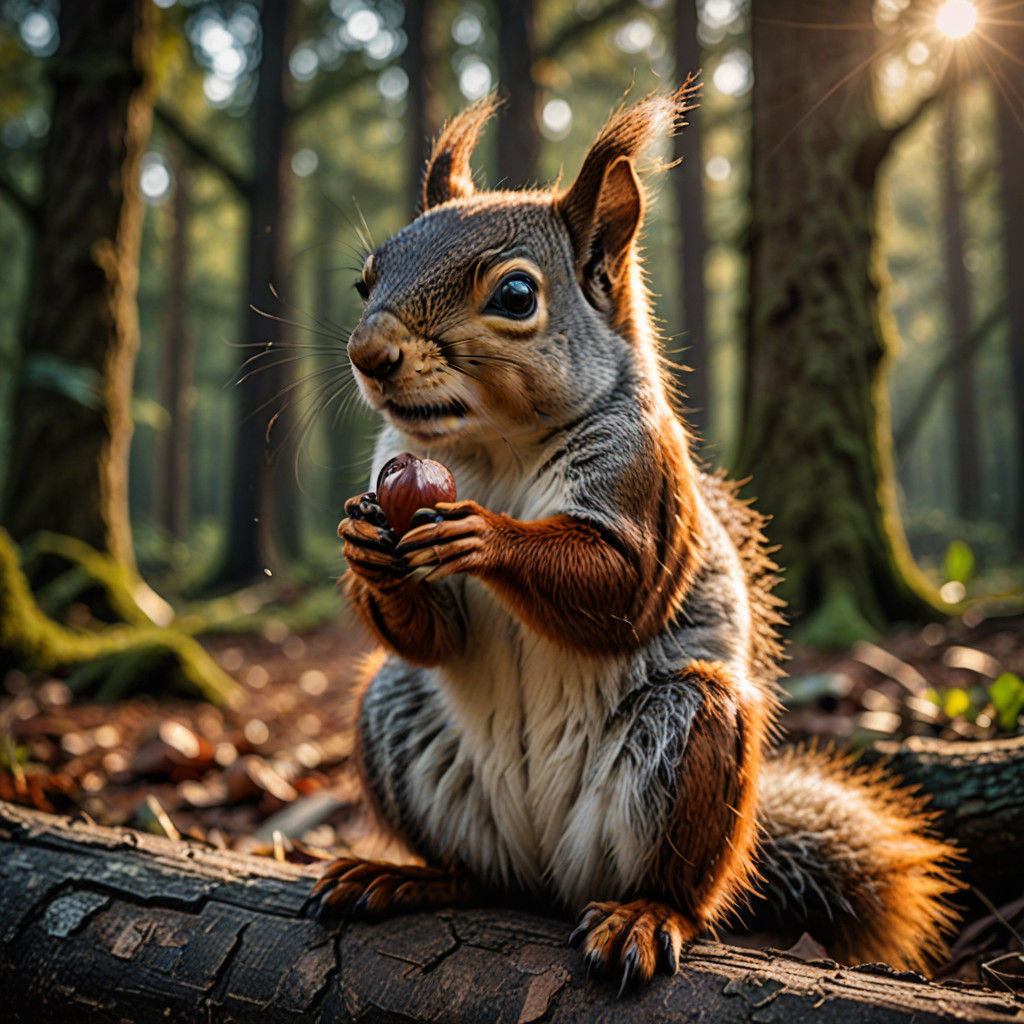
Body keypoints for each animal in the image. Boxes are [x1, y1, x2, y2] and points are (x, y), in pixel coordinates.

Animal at [313, 86, 960, 987]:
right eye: (363, 279)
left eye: (516, 296)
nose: (368, 353)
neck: (494, 449)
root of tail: (546, 871)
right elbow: (437, 634)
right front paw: (364, 551)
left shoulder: (642, 484)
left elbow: (621, 588)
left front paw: (487, 535)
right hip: (396, 716)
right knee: (475, 870)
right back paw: (406, 876)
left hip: (689, 736)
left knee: (678, 881)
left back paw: (647, 917)